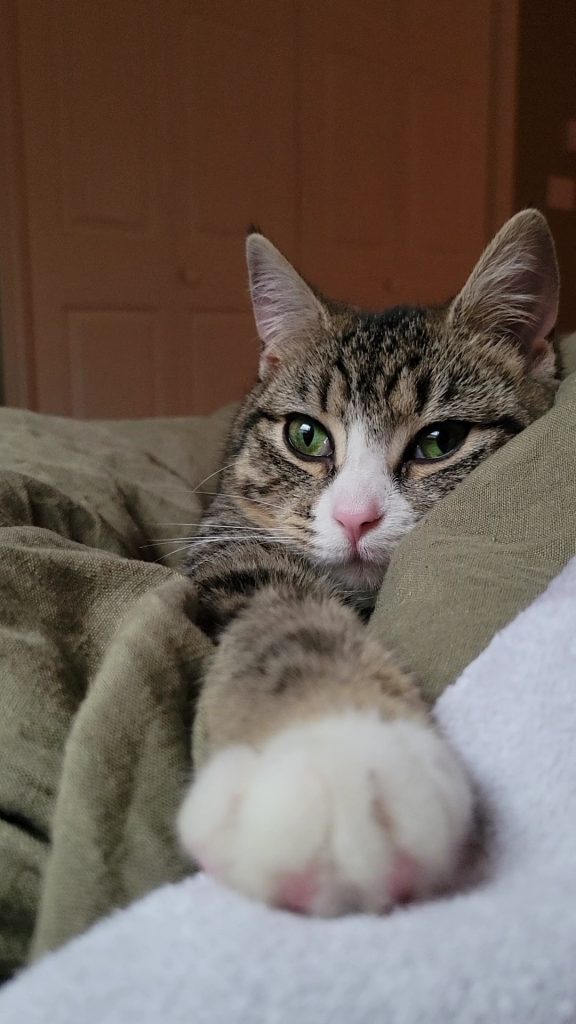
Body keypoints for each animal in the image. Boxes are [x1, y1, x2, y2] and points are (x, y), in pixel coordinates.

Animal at [176, 211, 557, 917]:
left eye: (440, 441)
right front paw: (334, 749)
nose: (357, 518)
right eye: (305, 435)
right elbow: (278, 610)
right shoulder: (227, 543)